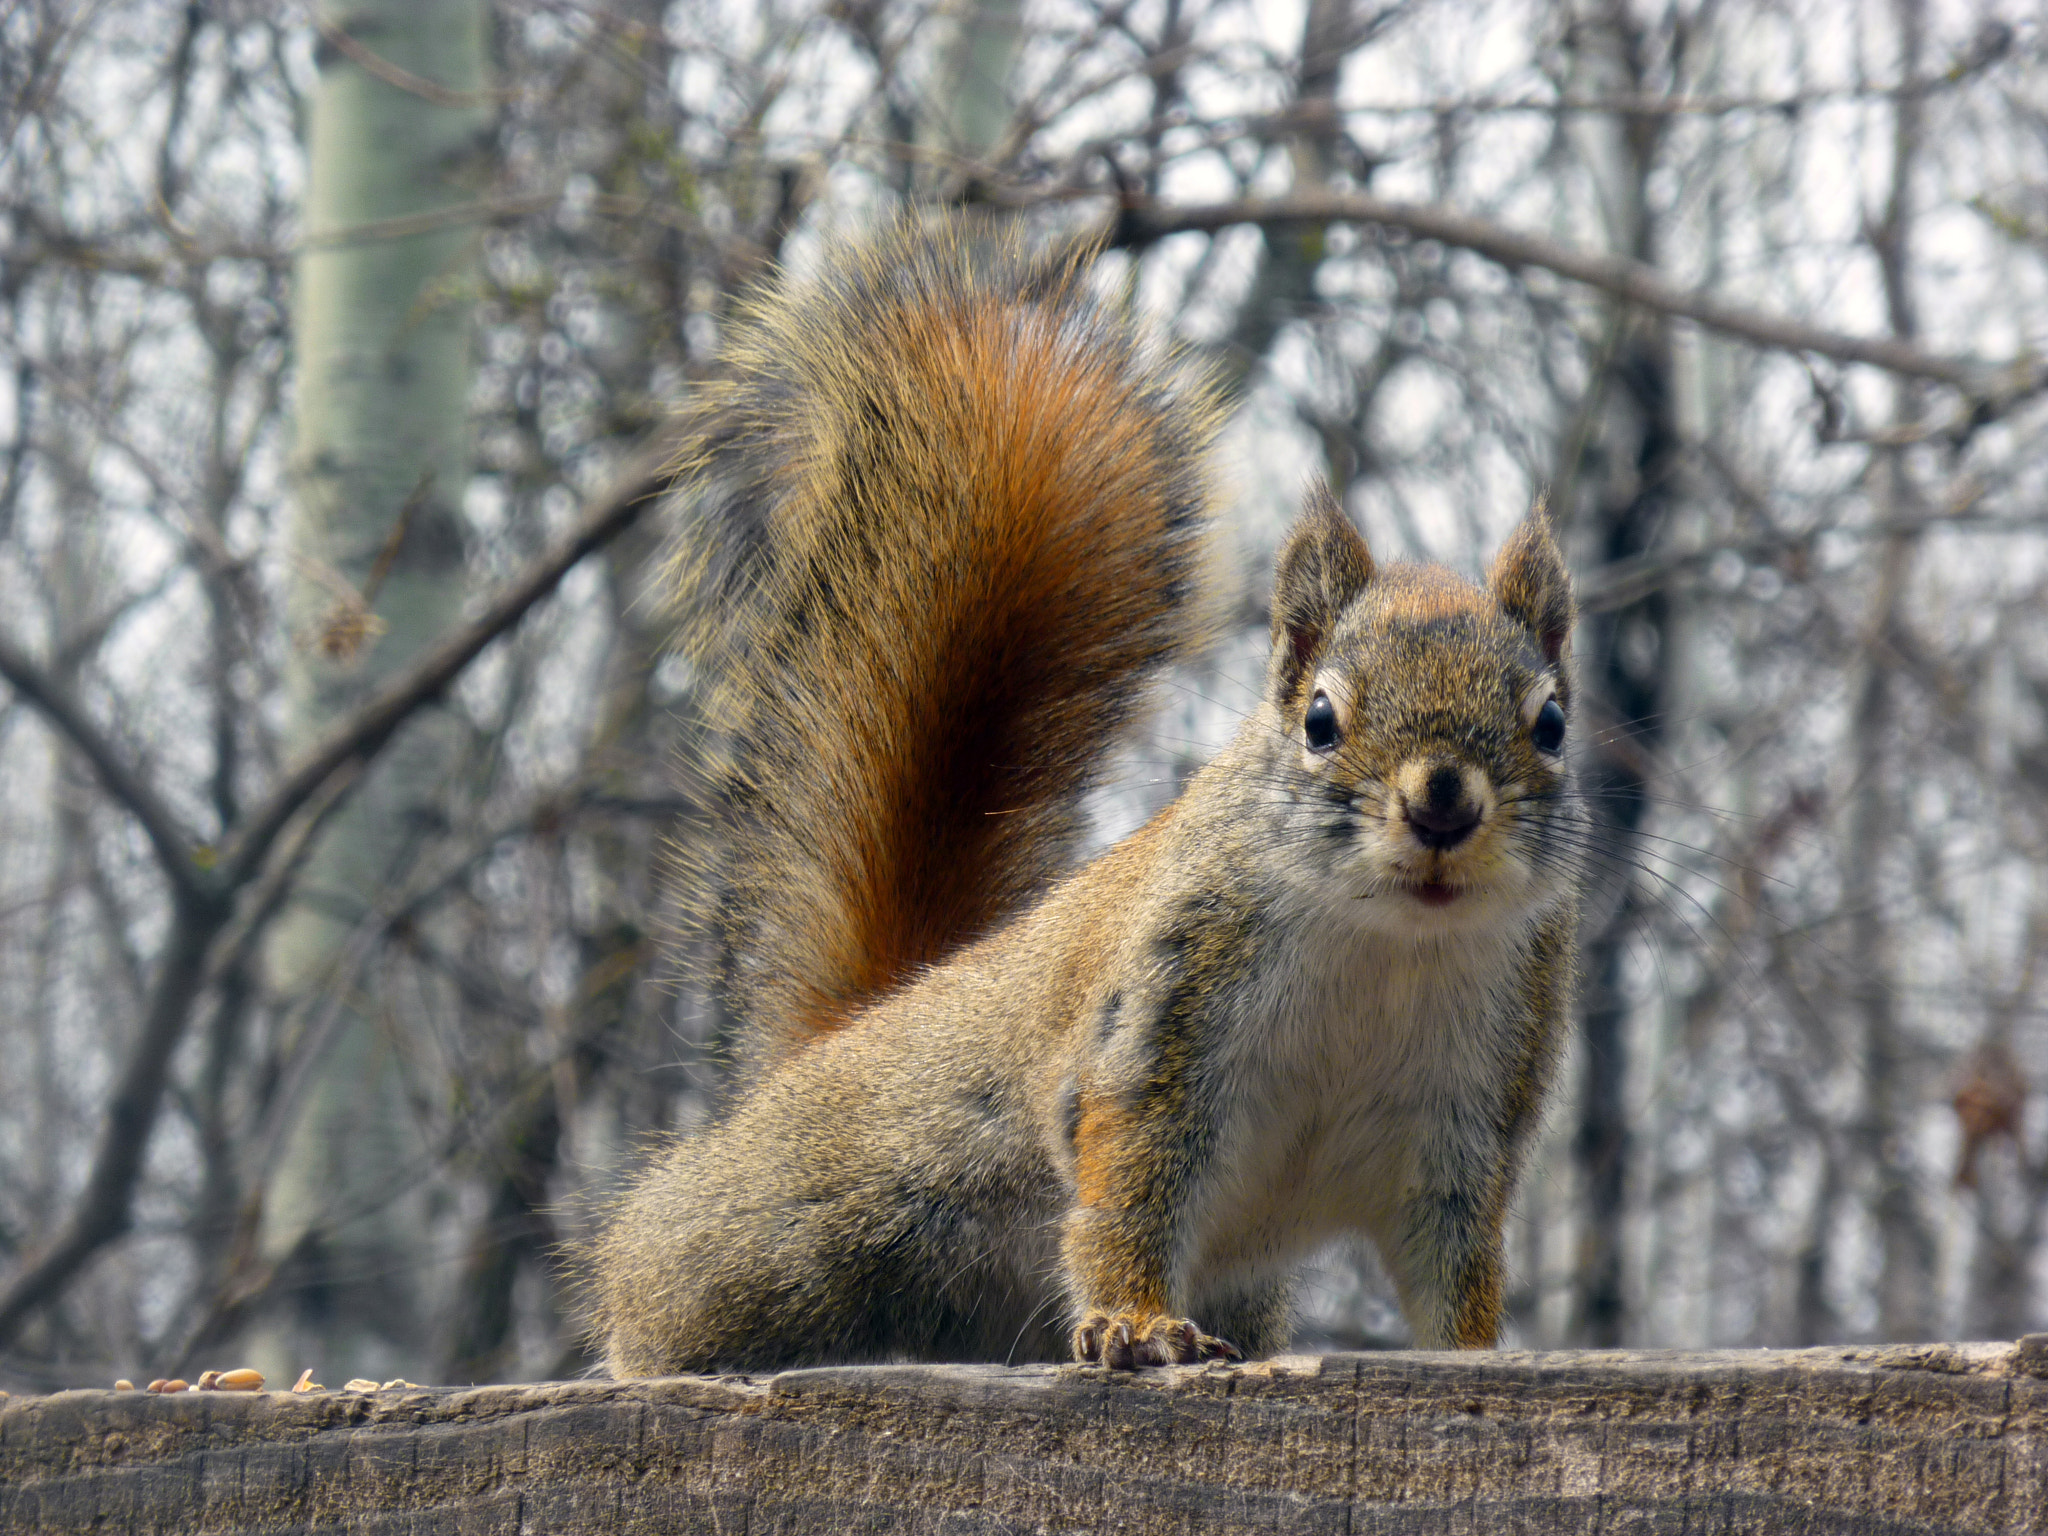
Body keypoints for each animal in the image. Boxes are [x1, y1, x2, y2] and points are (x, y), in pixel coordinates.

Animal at [593, 214, 1581, 1368]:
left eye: (1551, 724)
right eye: (1319, 720)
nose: (1442, 805)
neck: (1388, 948)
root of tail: (852, 1031)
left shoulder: (1465, 1129)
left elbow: (1453, 1266)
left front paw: (1479, 1355)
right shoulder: (1157, 1030)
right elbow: (1125, 1197)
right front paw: (1136, 1325)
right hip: (794, 1231)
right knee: (661, 1284)